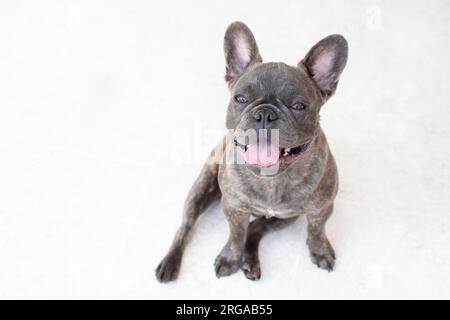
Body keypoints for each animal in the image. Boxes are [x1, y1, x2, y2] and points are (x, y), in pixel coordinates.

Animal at [156, 21, 350, 282]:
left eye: (298, 105)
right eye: (240, 98)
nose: (265, 113)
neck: (271, 178)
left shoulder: (322, 208)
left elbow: (316, 229)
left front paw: (320, 250)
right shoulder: (234, 207)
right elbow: (236, 234)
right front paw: (230, 258)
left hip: (285, 217)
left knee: (255, 229)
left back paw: (250, 261)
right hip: (201, 187)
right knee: (186, 227)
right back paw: (170, 262)